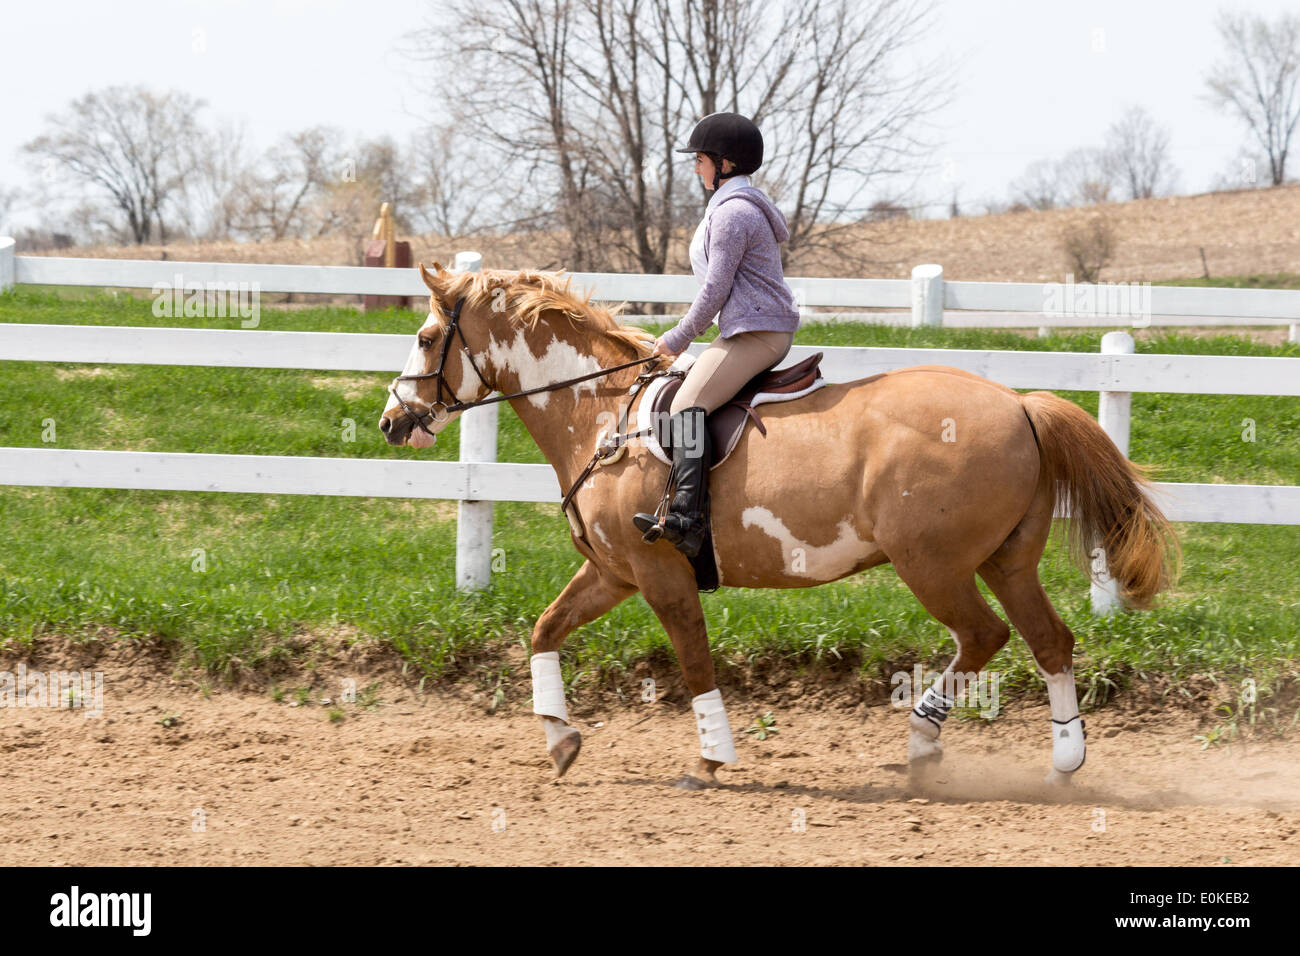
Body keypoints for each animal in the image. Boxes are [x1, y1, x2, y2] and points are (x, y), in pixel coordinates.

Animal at [377, 264, 1180, 790]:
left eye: (425, 336)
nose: (391, 422)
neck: (601, 416)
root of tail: (1019, 403)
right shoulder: (611, 573)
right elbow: (544, 631)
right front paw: (560, 739)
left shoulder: (662, 576)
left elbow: (695, 664)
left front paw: (711, 758)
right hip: (1004, 562)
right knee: (1050, 641)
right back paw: (1064, 761)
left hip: (934, 565)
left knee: (986, 636)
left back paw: (923, 743)